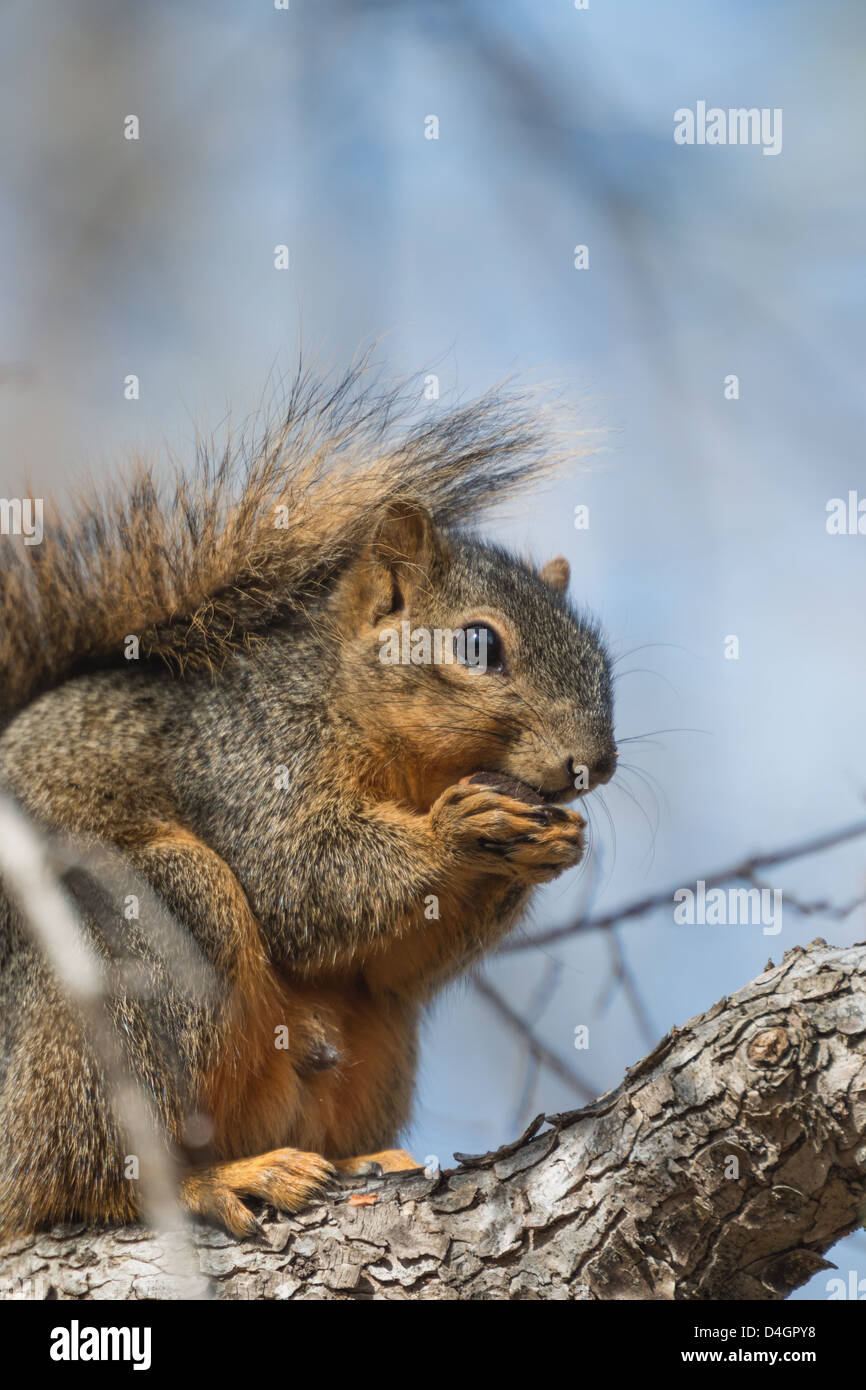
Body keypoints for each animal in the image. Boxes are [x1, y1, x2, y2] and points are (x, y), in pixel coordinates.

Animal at [0, 369, 617, 1239]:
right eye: (479, 645)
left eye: (602, 661)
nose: (593, 764)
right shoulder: (247, 765)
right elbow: (297, 881)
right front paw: (459, 832)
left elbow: (388, 963)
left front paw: (548, 846)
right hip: (135, 940)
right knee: (79, 1180)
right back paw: (219, 1180)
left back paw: (357, 1162)